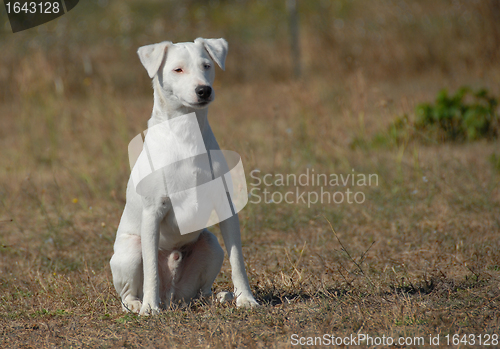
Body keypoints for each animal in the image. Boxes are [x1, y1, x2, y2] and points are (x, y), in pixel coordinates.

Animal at [109, 38, 258, 316]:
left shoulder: (226, 208)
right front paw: (150, 307)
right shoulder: (152, 213)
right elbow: (151, 270)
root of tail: (173, 296)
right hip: (131, 250)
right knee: (127, 293)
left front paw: (246, 299)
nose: (204, 90)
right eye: (178, 69)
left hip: (211, 244)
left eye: (207, 65)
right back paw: (138, 303)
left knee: (201, 290)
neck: (185, 135)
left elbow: (237, 259)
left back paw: (217, 297)